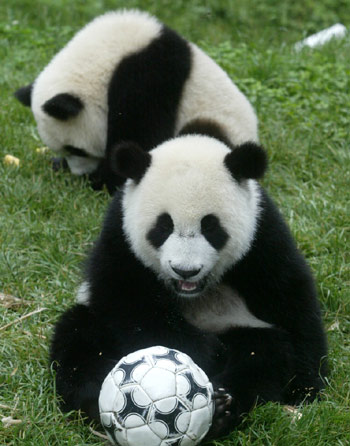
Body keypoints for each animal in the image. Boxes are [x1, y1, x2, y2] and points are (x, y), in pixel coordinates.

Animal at [14, 8, 258, 193]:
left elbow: (139, 135)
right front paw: (60, 165)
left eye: (76, 149)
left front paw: (102, 180)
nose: (79, 172)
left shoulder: (149, 76)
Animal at [50, 121, 328, 440]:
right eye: (163, 226)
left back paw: (223, 408)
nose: (185, 271)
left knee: (265, 357)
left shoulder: (263, 234)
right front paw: (203, 351)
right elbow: (130, 303)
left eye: (211, 227)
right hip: (92, 325)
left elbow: (290, 299)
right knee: (78, 339)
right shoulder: (120, 235)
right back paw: (95, 398)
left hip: (244, 328)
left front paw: (306, 388)